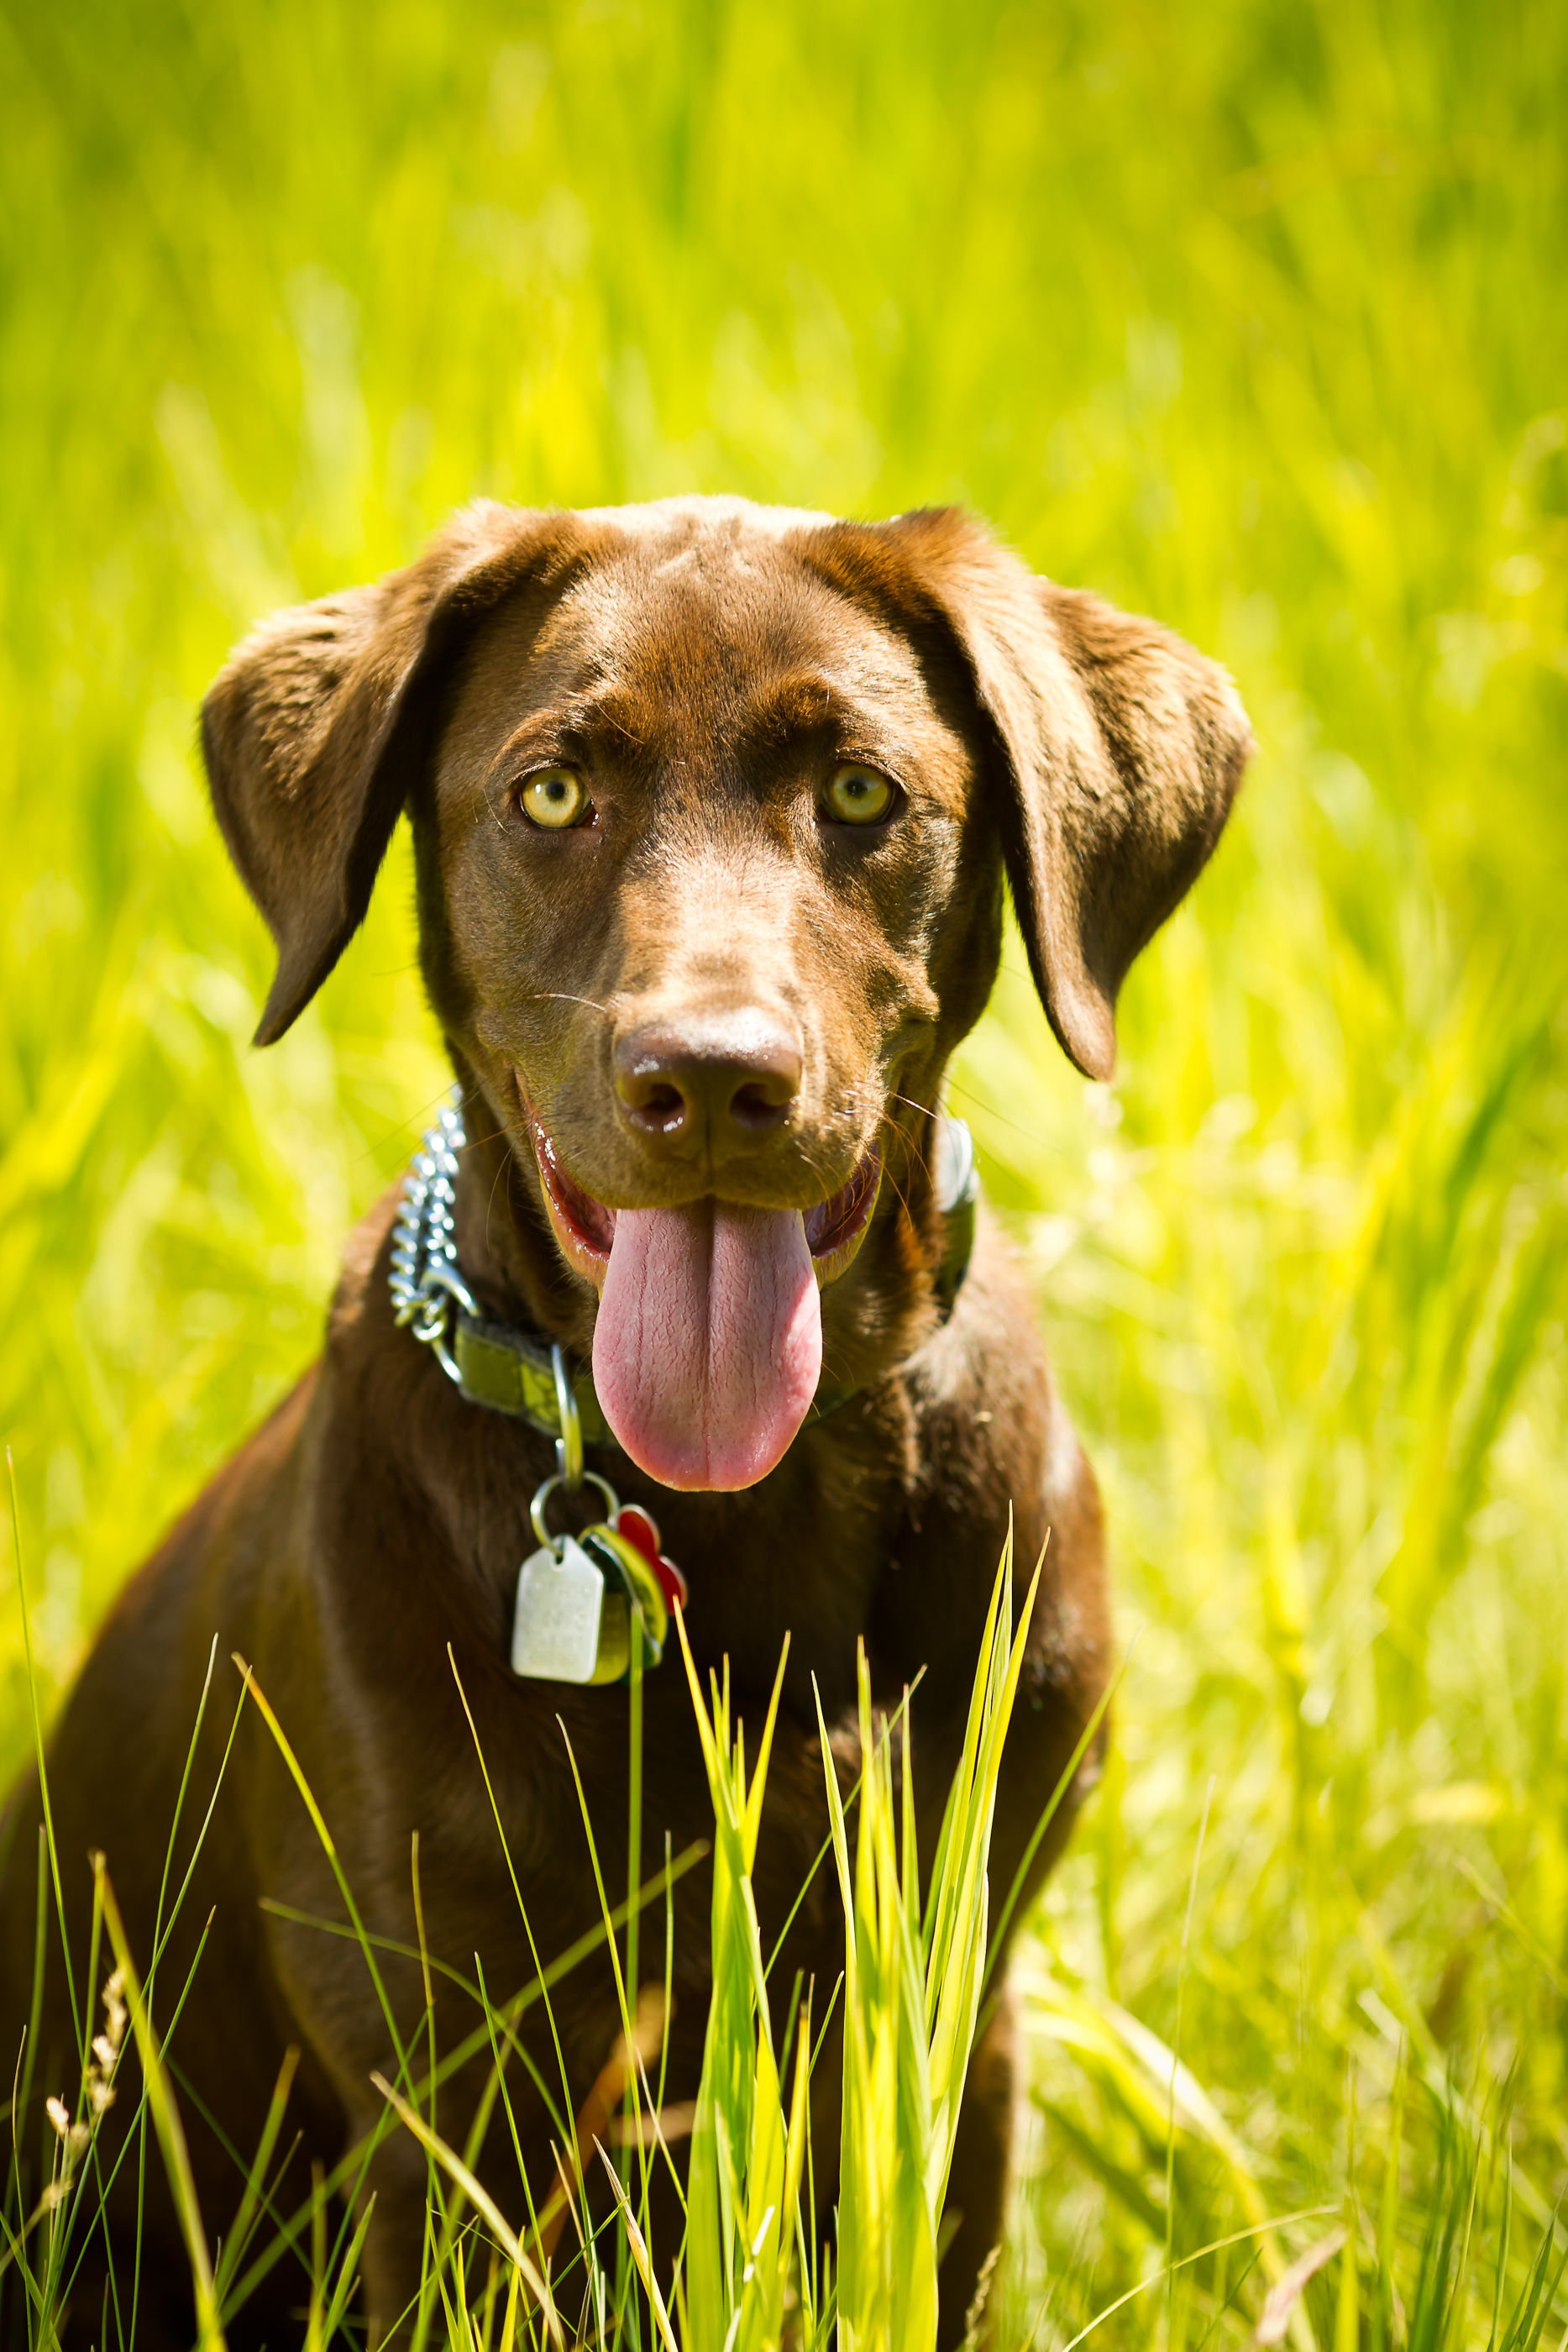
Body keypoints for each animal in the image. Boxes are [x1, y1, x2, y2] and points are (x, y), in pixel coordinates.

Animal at [0, 491, 1251, 2333]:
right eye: (550, 793)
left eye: (862, 792)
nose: (715, 1079)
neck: (755, 1501)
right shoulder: (451, 2069)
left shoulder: (950, 2008)